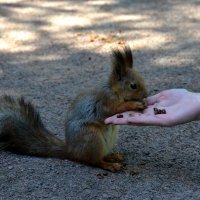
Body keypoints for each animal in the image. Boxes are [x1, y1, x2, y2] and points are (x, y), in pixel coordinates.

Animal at [0, 45, 147, 172]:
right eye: (133, 86)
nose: (146, 95)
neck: (113, 90)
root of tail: (71, 151)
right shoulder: (106, 101)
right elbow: (114, 109)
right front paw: (135, 104)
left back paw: (113, 156)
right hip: (91, 138)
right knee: (95, 161)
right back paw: (110, 165)